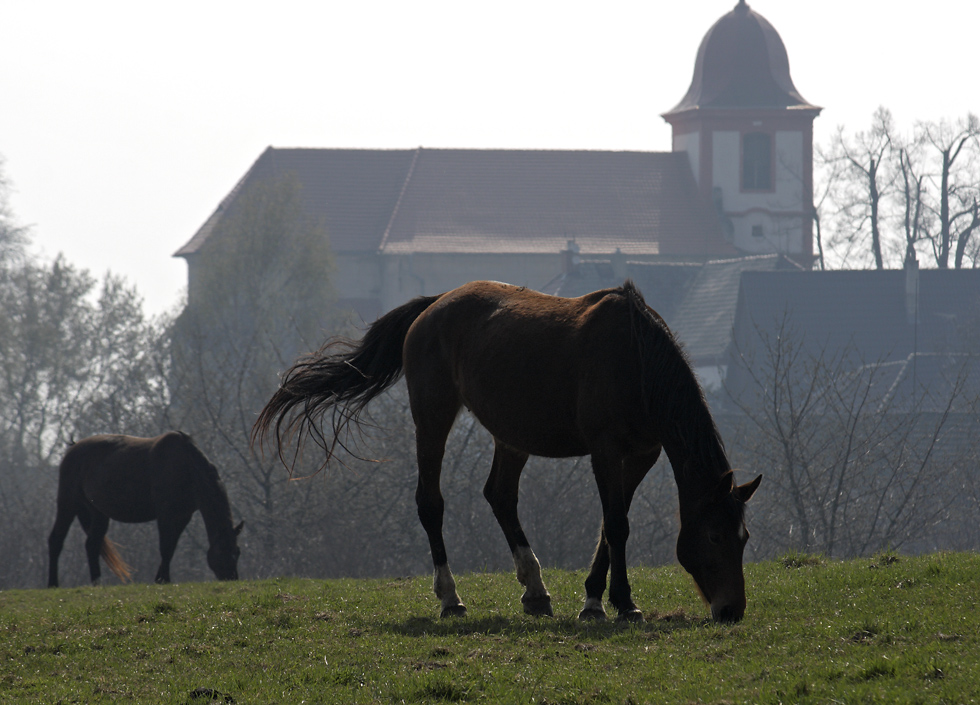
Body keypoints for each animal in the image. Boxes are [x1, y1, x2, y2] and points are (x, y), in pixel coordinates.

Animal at [48, 432, 244, 584]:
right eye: (222, 551)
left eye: (237, 551)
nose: (231, 578)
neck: (187, 466)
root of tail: (73, 448)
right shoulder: (166, 514)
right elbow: (166, 546)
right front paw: (163, 579)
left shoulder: (183, 515)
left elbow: (172, 546)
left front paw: (161, 578)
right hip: (68, 503)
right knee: (56, 540)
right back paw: (53, 584)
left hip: (98, 513)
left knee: (92, 545)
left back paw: (97, 582)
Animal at [251, 280, 756, 620]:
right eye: (714, 536)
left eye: (744, 538)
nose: (732, 610)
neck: (636, 360)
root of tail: (433, 306)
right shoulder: (605, 451)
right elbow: (616, 525)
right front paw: (618, 603)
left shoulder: (642, 455)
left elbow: (610, 525)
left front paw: (596, 597)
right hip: (432, 418)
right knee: (430, 503)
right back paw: (451, 597)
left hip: (510, 437)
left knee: (500, 496)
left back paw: (535, 589)